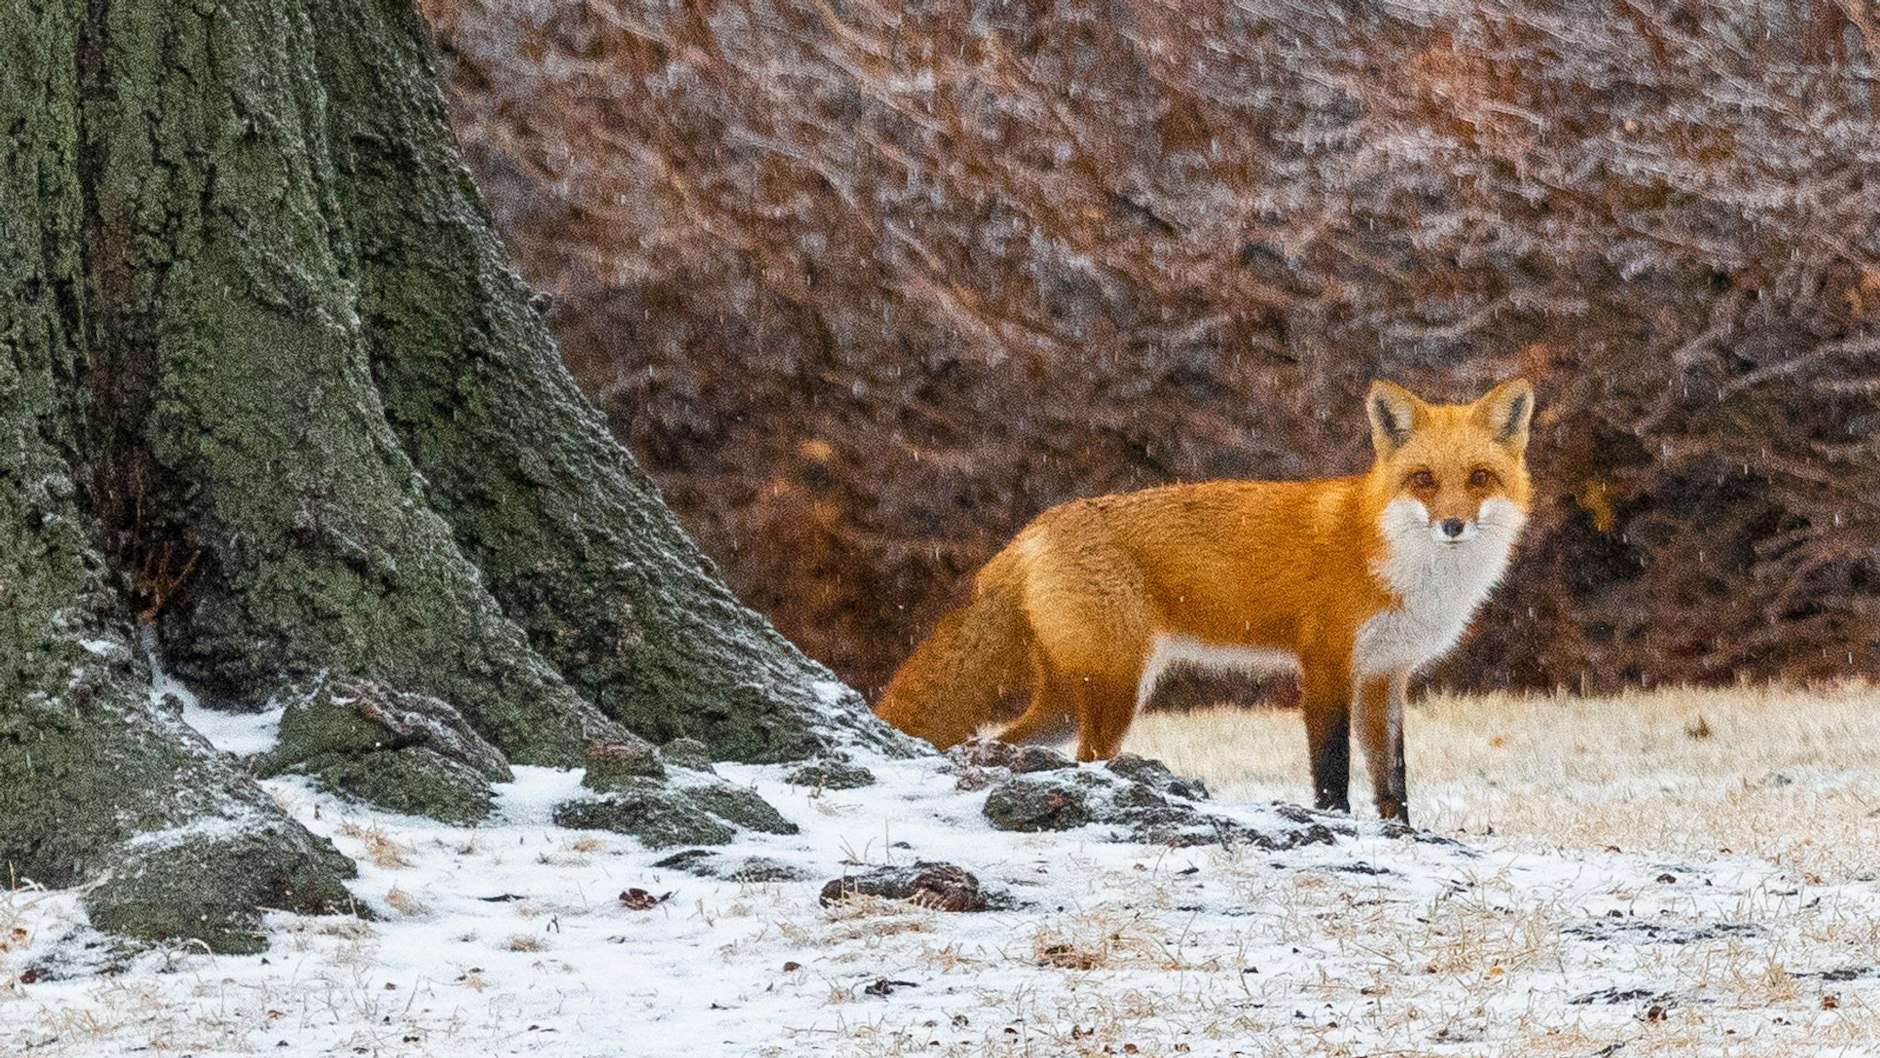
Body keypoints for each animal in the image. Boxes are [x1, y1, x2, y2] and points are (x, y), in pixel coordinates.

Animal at [873, 377, 1533, 822]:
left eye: (1479, 477)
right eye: (1423, 479)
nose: (1453, 525)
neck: (1402, 565)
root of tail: (1032, 528)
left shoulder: (1385, 674)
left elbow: (1392, 776)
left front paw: (1404, 836)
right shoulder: (1327, 662)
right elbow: (1332, 767)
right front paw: (1334, 823)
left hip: (1069, 700)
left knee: (994, 742)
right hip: (1115, 689)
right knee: (1087, 759)